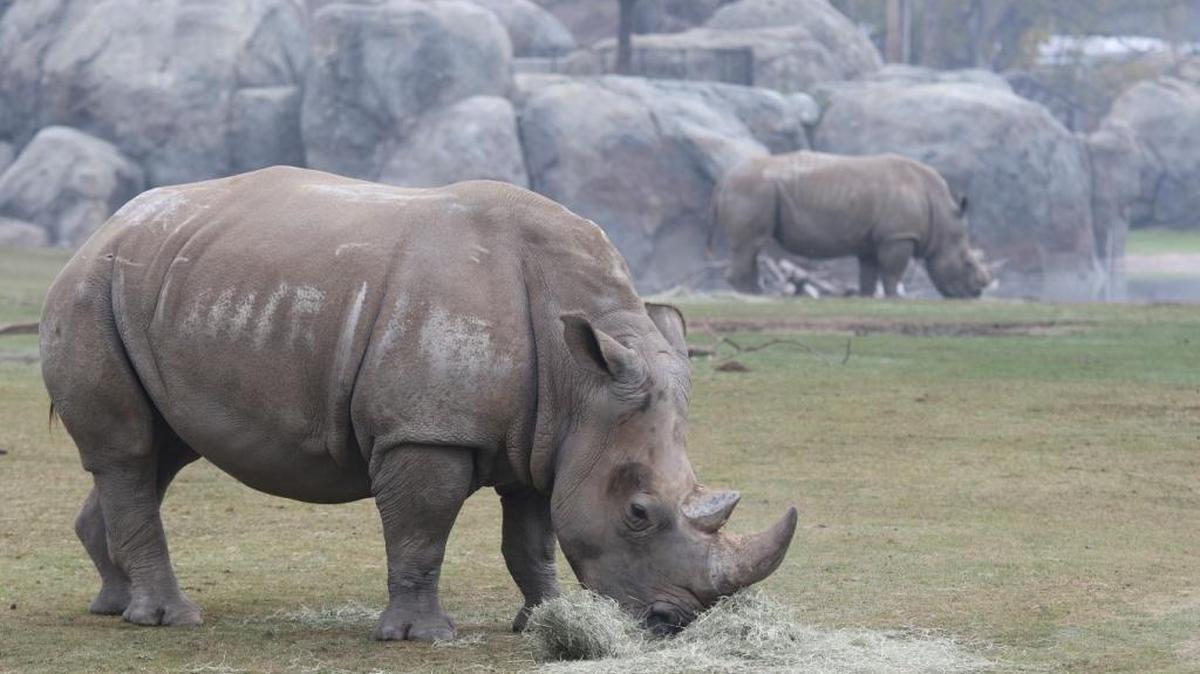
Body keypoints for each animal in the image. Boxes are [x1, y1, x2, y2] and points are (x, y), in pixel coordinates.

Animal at [40, 166, 797, 642]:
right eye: (640, 514)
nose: (674, 624)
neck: (581, 379)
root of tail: (103, 229)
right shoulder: (426, 430)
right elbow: (422, 530)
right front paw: (419, 638)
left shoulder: (547, 436)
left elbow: (533, 538)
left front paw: (543, 621)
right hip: (92, 290)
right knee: (133, 452)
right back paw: (168, 619)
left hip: (165, 287)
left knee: (158, 452)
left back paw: (114, 605)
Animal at [713, 151, 992, 298]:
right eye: (967, 263)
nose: (978, 291)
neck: (943, 214)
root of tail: (723, 180)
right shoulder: (898, 236)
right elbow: (893, 271)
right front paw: (895, 298)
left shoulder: (873, 240)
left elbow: (869, 272)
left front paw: (866, 297)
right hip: (752, 189)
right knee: (751, 244)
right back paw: (755, 296)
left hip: (757, 190)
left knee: (751, 247)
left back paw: (756, 293)